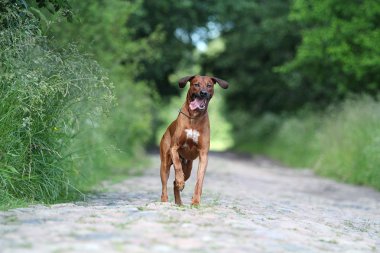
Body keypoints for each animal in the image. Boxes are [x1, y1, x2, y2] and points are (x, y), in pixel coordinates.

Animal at [160, 75, 229, 206]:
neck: (194, 117)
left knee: (174, 182)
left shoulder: (203, 154)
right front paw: (180, 181)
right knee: (165, 183)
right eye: (196, 84)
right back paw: (165, 199)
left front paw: (196, 201)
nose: (203, 93)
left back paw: (179, 202)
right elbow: (177, 165)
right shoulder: (174, 148)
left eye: (209, 85)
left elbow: (199, 180)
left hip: (188, 168)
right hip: (165, 163)